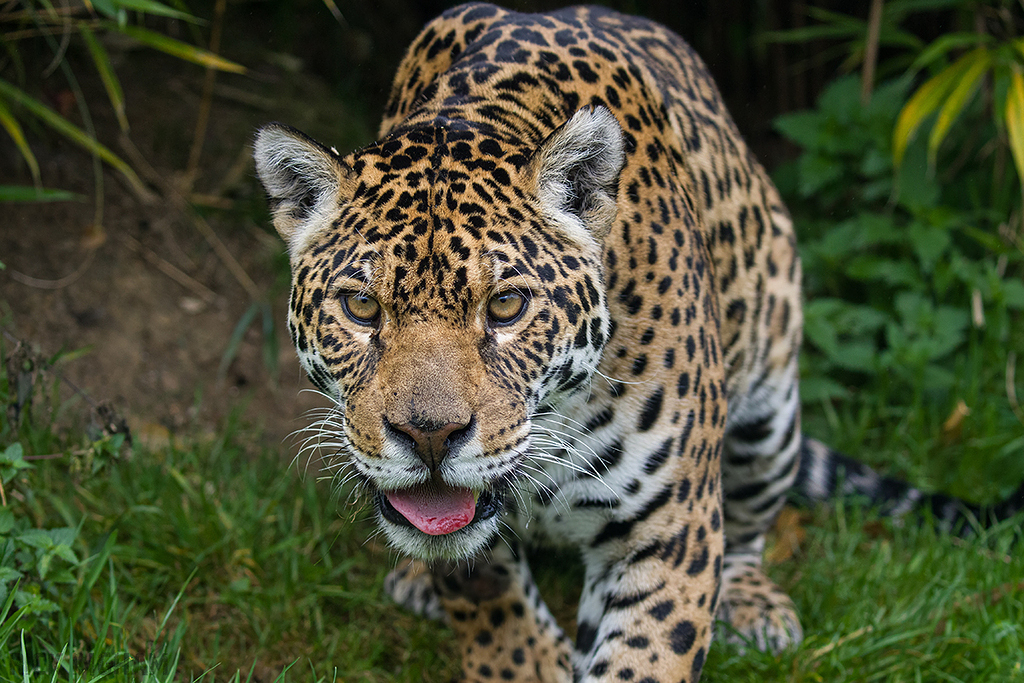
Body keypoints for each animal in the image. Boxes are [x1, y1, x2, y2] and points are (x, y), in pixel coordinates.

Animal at [253, 4, 1024, 681]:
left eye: (506, 306)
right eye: (360, 306)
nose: (430, 436)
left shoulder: (668, 534)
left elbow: (651, 652)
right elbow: (491, 602)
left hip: (770, 411)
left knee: (749, 529)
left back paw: (756, 606)